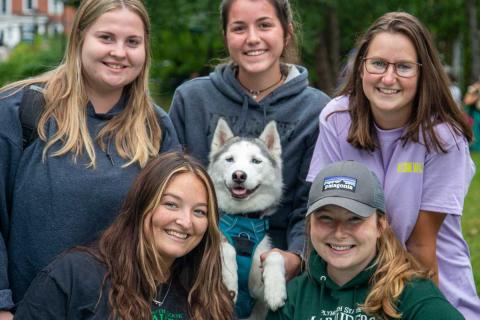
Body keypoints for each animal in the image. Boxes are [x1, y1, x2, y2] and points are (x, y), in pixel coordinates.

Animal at [208, 118, 286, 320]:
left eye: (256, 161)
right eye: (230, 159)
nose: (239, 175)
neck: (242, 220)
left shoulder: (257, 293)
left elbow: (274, 254)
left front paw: (276, 291)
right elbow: (226, 247)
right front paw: (230, 283)